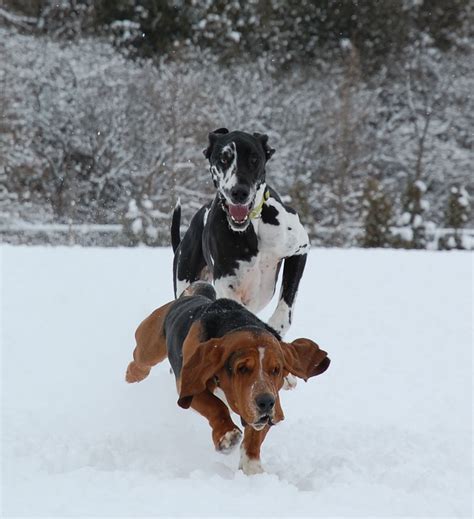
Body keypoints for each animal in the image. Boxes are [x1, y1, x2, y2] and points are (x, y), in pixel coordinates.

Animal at [125, 284, 330, 476]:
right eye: (242, 368)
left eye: (276, 370)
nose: (265, 402)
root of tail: (195, 296)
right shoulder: (189, 387)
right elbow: (216, 406)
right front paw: (227, 436)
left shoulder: (269, 407)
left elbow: (254, 436)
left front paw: (252, 467)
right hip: (150, 344)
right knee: (140, 359)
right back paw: (133, 374)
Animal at [172, 130, 310, 338]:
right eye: (223, 158)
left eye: (254, 159)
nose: (239, 192)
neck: (253, 226)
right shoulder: (226, 284)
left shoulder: (299, 250)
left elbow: (286, 305)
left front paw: (275, 327)